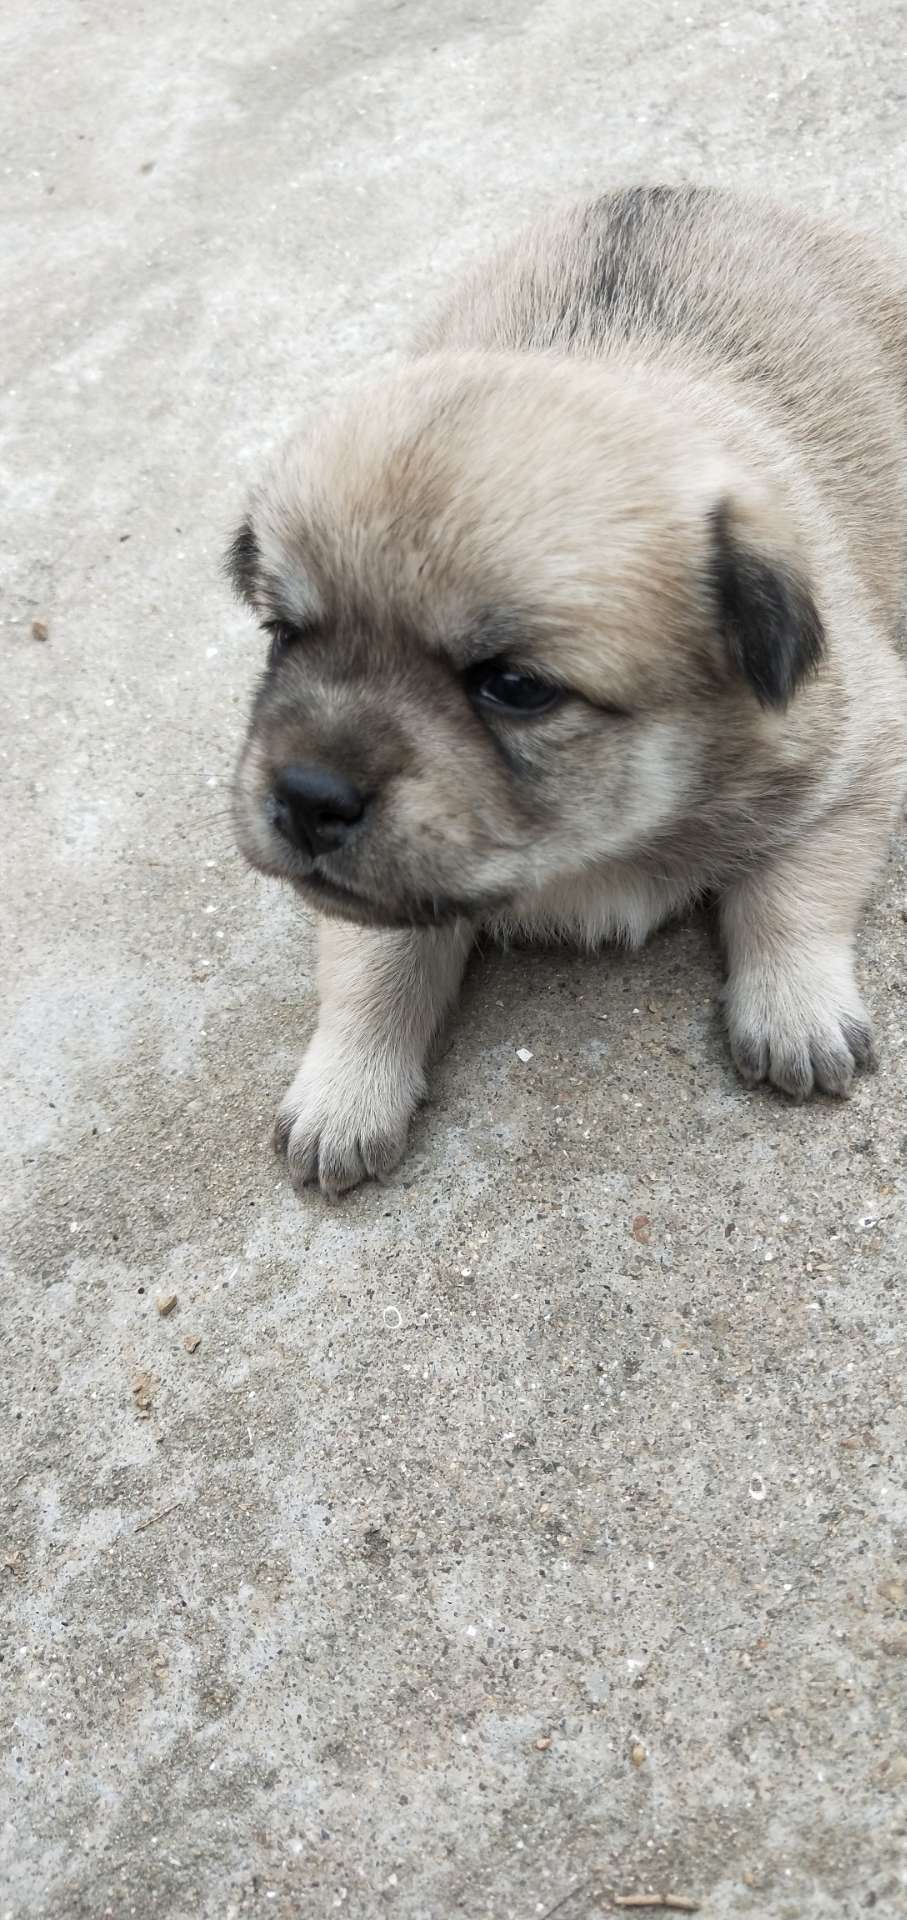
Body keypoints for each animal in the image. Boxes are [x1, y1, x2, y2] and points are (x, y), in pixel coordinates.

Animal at [224, 187, 907, 1190]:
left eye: (513, 686)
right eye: (283, 636)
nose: (308, 798)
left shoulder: (856, 758)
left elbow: (793, 888)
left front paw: (795, 1006)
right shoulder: (377, 900)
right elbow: (374, 961)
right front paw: (346, 1088)